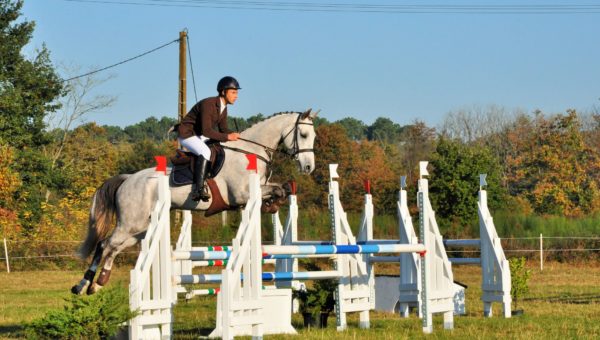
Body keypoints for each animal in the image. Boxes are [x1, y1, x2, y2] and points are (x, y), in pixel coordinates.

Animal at [71, 109, 318, 294]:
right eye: (304, 134)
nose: (308, 167)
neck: (250, 151)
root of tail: (127, 179)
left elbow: (281, 189)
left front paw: (273, 204)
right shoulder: (242, 194)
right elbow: (277, 189)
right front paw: (273, 201)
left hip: (139, 229)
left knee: (110, 247)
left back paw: (94, 284)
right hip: (131, 223)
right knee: (105, 245)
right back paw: (87, 284)